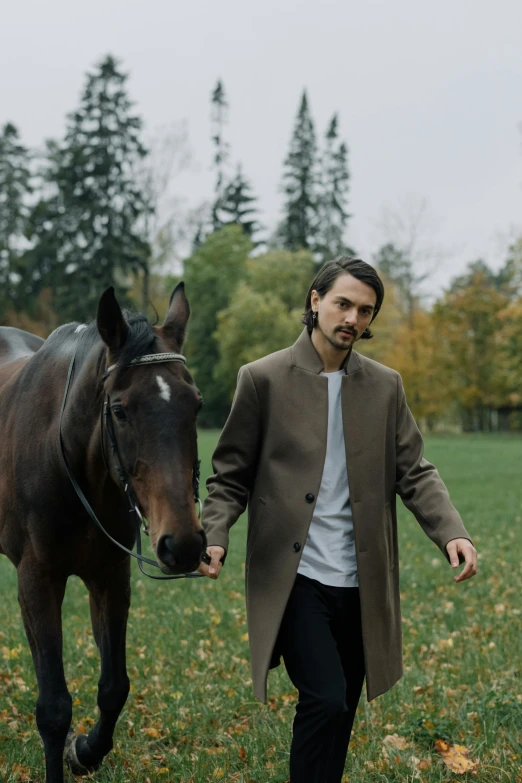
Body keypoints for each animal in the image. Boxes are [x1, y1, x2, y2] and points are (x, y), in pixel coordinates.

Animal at [0, 284, 206, 783]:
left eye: (197, 404)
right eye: (119, 410)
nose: (184, 543)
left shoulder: (110, 576)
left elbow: (114, 687)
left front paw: (85, 751)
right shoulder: (37, 581)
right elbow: (53, 707)